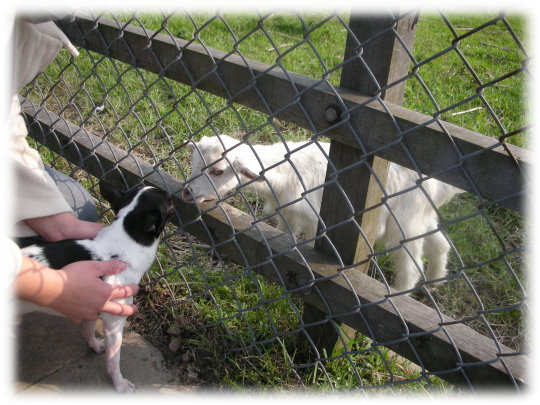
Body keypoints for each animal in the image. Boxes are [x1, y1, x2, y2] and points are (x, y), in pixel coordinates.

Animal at [16, 181, 174, 390]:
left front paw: (94, 345)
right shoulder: (114, 325)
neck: (124, 239)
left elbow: (88, 330)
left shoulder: (90, 303)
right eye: (168, 201)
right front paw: (119, 384)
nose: (175, 195)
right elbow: (114, 359)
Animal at [184, 135, 462, 290]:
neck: (284, 172)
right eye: (194, 162)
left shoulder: (315, 218)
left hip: (402, 221)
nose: (187, 192)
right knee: (440, 244)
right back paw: (435, 282)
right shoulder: (289, 213)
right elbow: (284, 236)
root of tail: (439, 184)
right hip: (419, 217)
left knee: (411, 264)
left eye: (218, 171)